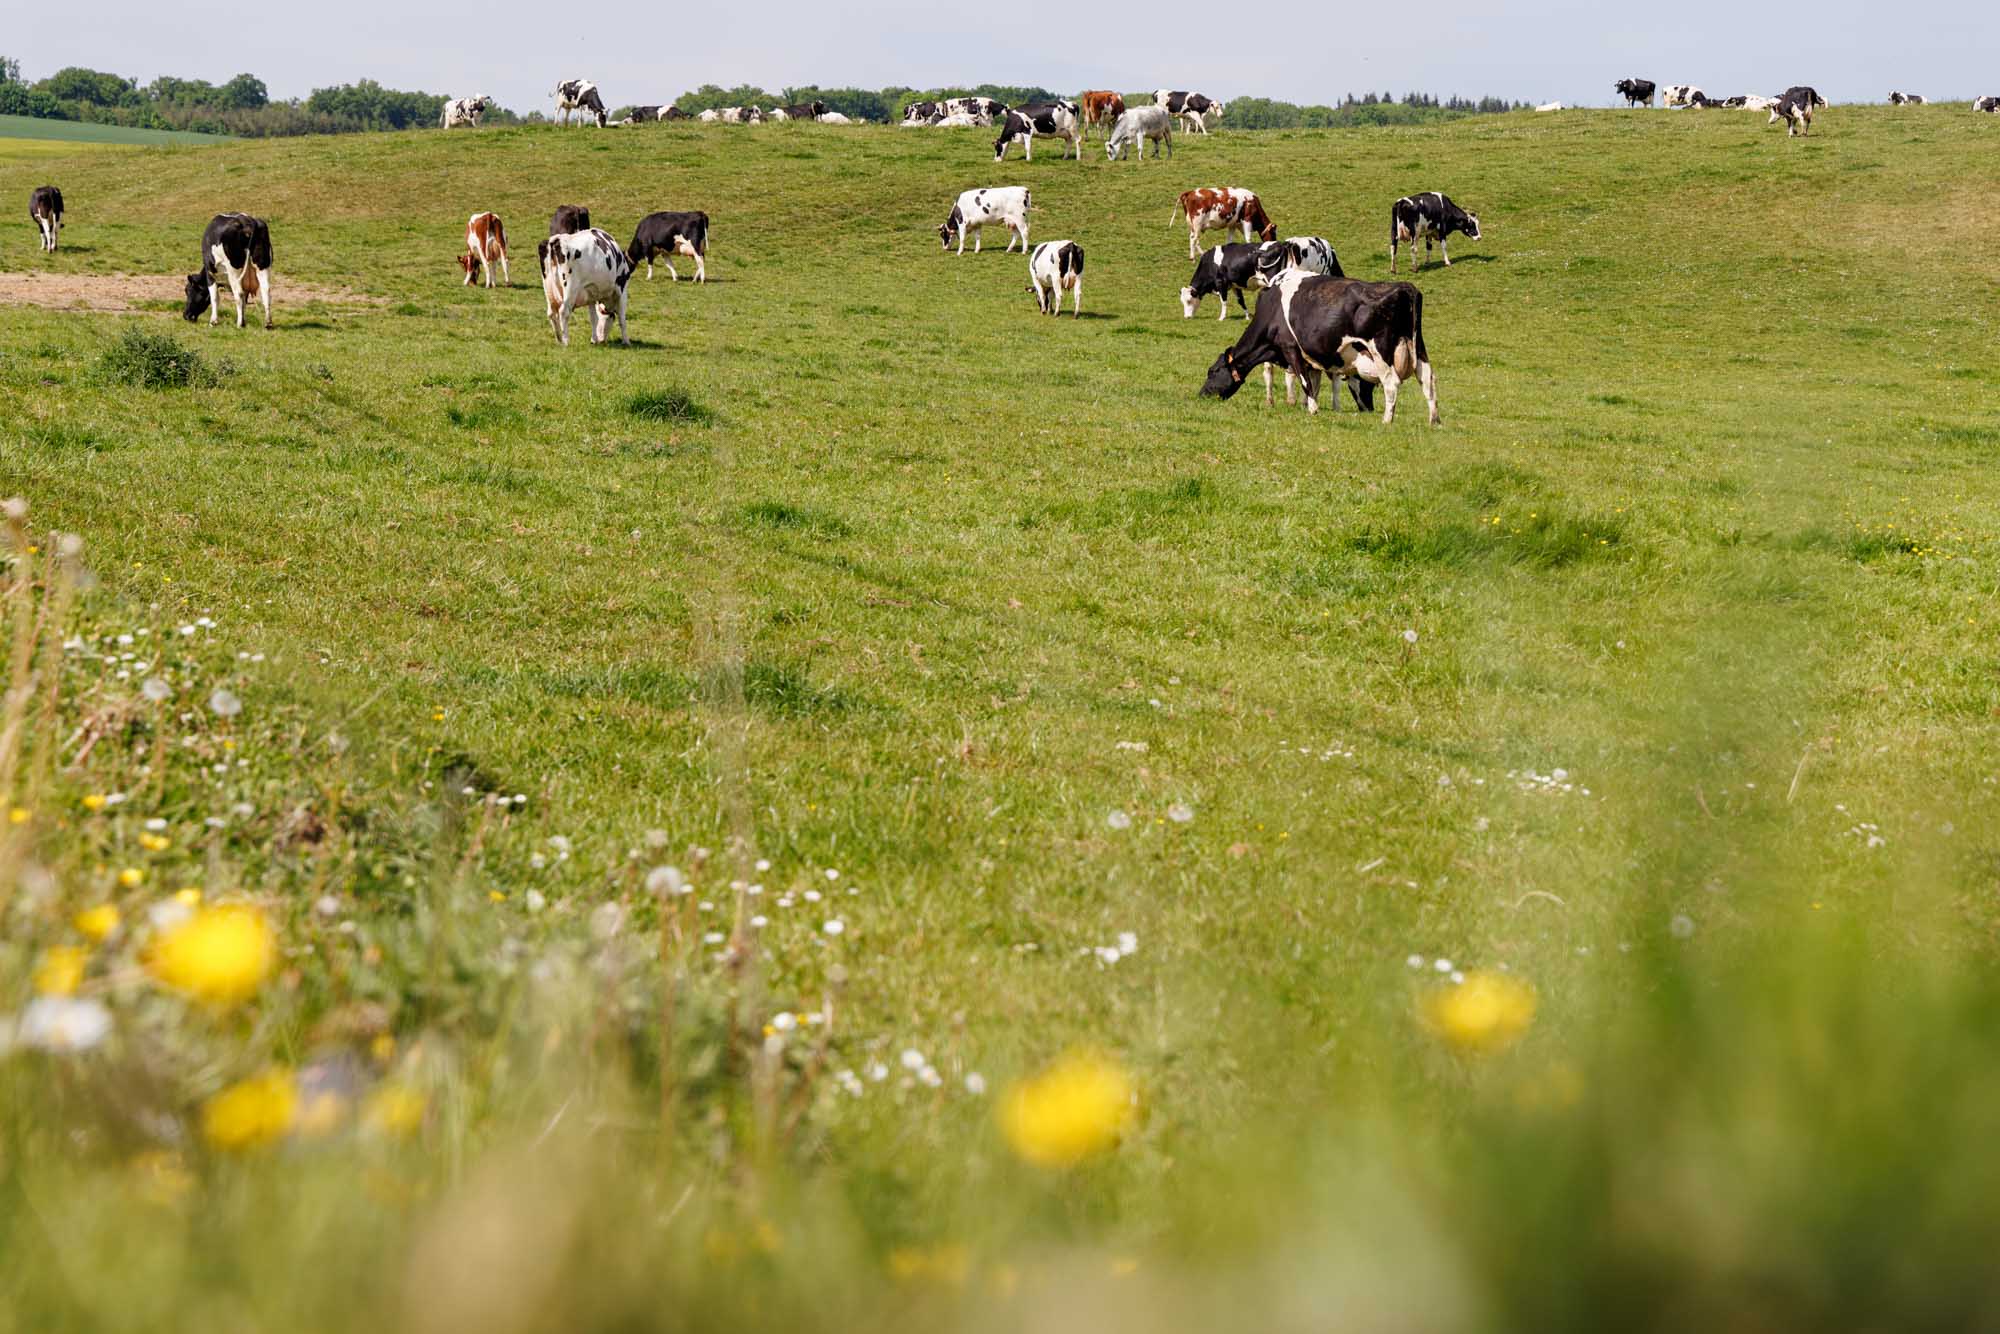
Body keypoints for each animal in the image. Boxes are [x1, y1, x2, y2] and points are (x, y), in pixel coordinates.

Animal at [1201, 273, 1440, 426]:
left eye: (1212, 371)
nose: (1201, 394)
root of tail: (1405, 286)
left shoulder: (1291, 349)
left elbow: (1305, 381)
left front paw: (1312, 410)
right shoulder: (1311, 358)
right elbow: (1314, 384)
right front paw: (1310, 405)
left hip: (1379, 350)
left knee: (1391, 383)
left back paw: (1387, 420)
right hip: (1420, 349)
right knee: (1428, 380)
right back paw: (1434, 420)